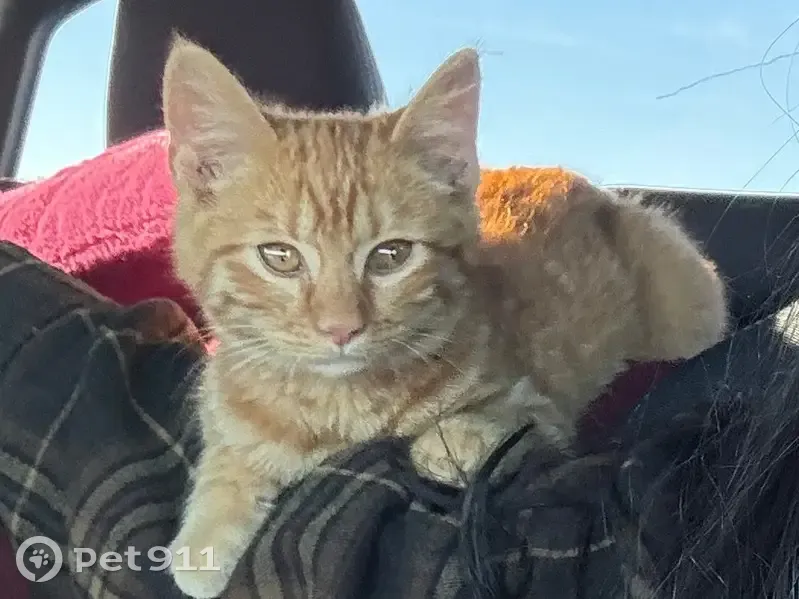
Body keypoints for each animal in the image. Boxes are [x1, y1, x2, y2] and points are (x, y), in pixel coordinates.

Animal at [162, 37, 727, 598]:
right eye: (279, 257)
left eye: (390, 256)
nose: (342, 328)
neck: (340, 406)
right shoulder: (226, 394)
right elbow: (229, 441)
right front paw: (206, 533)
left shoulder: (541, 408)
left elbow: (499, 423)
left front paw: (448, 440)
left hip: (687, 308)